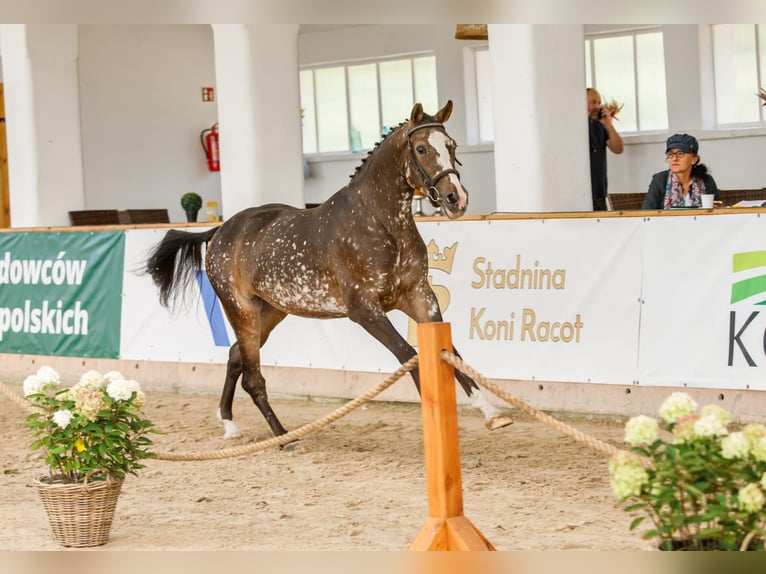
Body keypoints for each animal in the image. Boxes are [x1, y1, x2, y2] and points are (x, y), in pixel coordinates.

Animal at [145, 100, 513, 440]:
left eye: (451, 145)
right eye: (421, 148)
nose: (456, 199)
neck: (378, 223)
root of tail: (222, 230)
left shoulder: (419, 296)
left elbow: (449, 352)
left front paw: (491, 413)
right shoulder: (364, 310)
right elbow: (409, 354)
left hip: (271, 312)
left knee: (236, 356)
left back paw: (230, 424)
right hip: (242, 311)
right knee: (252, 376)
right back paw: (283, 437)